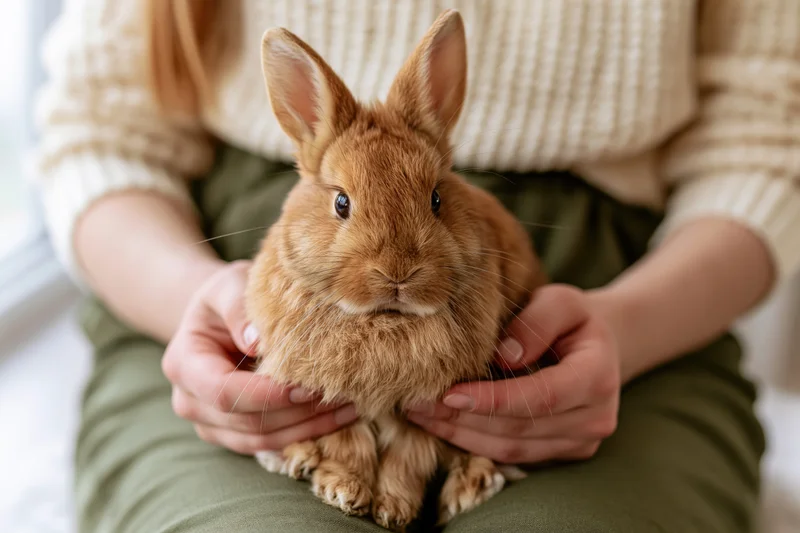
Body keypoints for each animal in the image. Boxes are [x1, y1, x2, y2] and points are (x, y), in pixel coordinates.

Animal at [245, 9, 546, 530]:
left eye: (436, 199)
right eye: (341, 203)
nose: (398, 272)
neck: (384, 323)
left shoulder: (421, 419)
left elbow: (408, 461)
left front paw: (392, 510)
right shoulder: (333, 403)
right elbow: (349, 448)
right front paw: (343, 491)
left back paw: (470, 488)